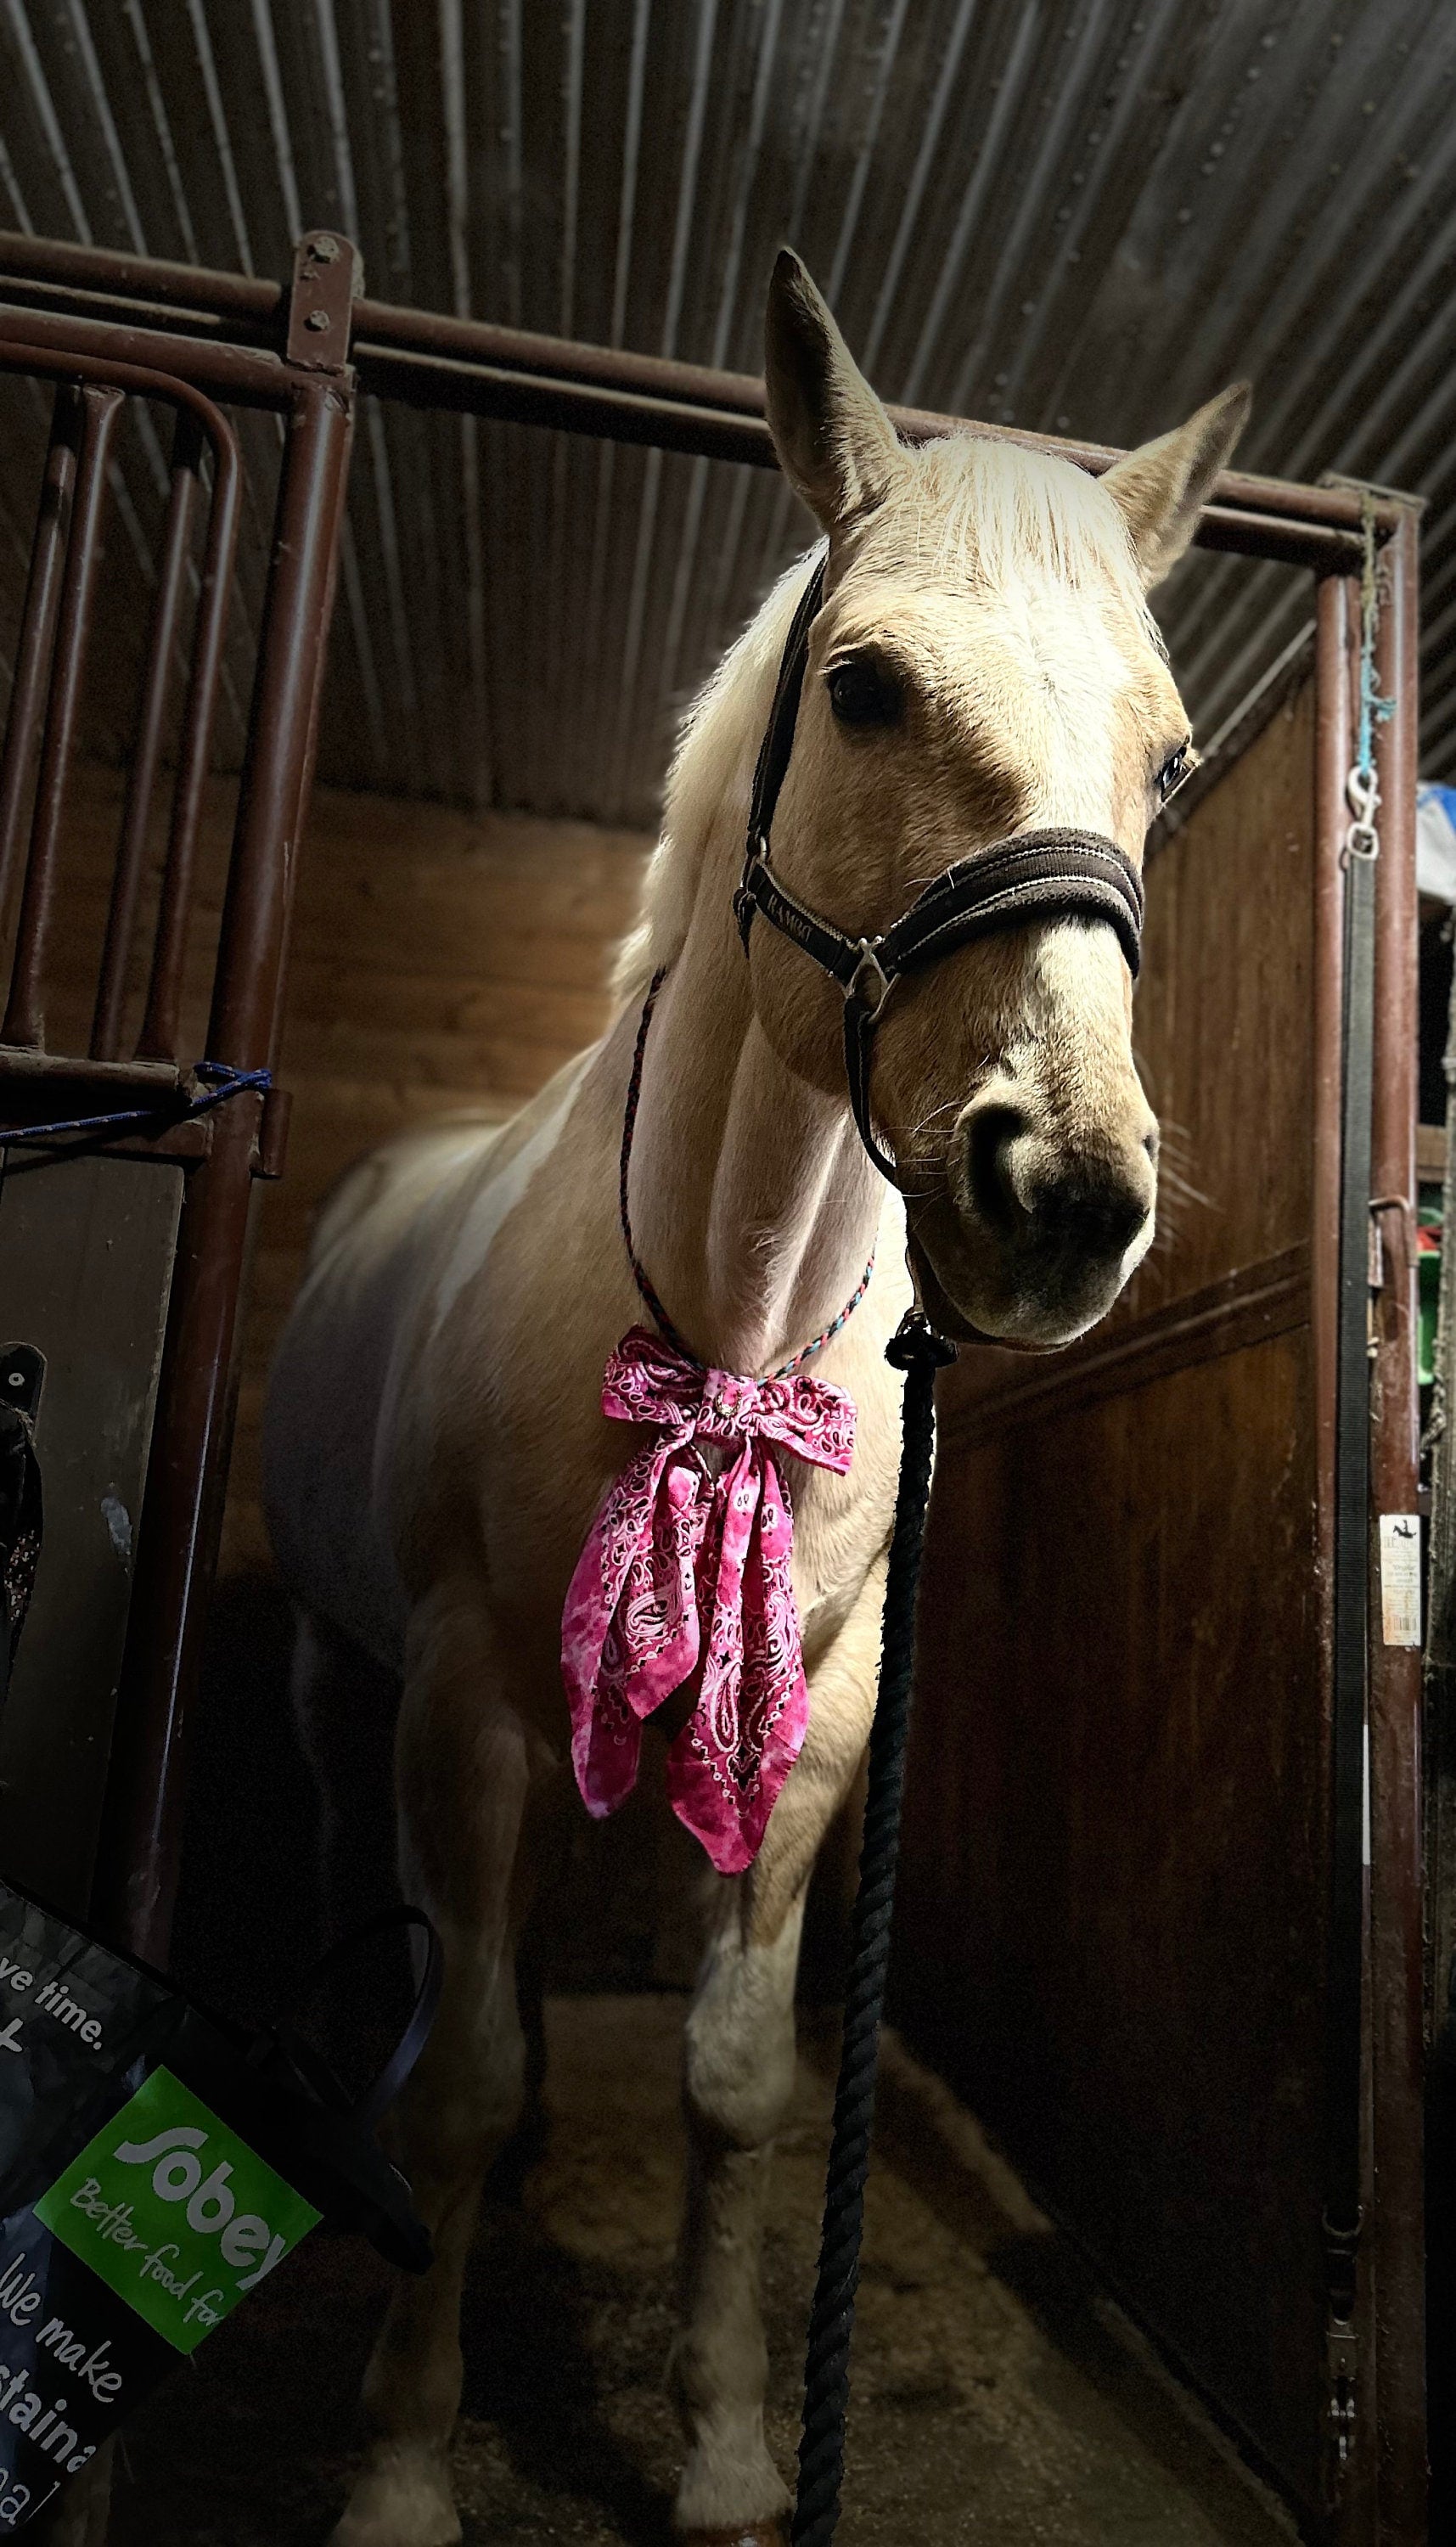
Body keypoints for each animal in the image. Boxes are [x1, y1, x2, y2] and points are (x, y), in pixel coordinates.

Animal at [261, 253, 1242, 2547]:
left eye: (1168, 762)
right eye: (865, 688)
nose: (1060, 1194)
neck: (724, 1311)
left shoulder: (814, 1730)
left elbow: (728, 2081)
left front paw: (720, 2448)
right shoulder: (462, 1692)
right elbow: (460, 2088)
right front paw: (404, 2458)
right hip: (346, 1676)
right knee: (388, 1919)